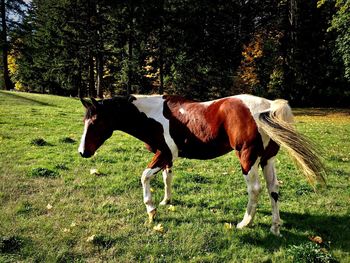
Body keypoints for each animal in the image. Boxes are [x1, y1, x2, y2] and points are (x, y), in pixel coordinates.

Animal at [78, 94, 326, 236]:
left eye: (95, 121)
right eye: (85, 121)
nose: (83, 152)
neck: (154, 114)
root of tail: (269, 106)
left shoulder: (164, 153)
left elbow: (145, 176)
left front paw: (151, 210)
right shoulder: (167, 156)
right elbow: (167, 177)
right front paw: (166, 201)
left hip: (248, 159)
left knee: (254, 189)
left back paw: (245, 223)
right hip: (267, 159)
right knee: (273, 189)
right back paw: (275, 227)